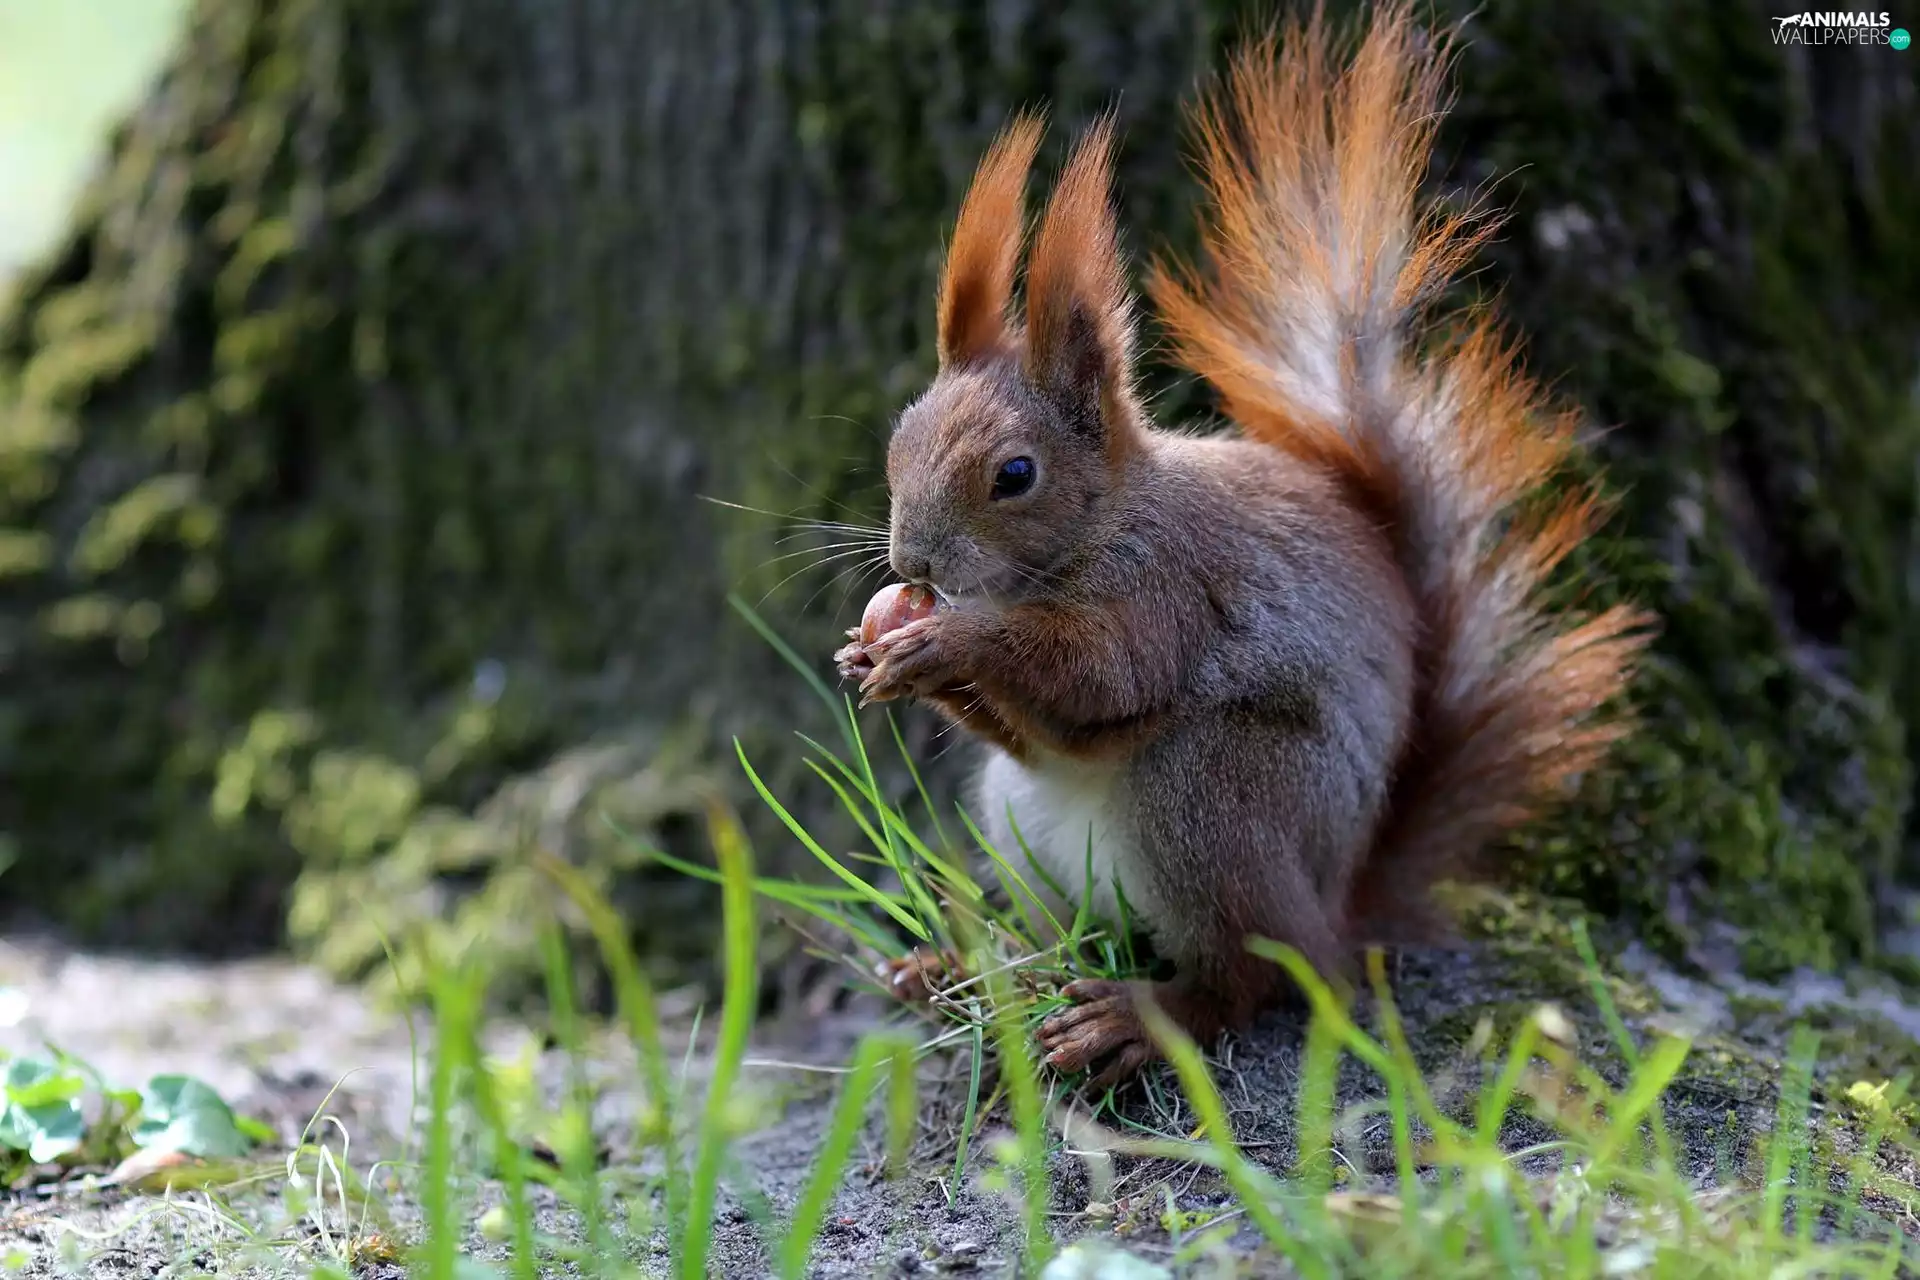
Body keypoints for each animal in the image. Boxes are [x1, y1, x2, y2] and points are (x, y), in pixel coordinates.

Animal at [833, 1, 1653, 1087]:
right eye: (899, 438)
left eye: (1014, 474)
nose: (912, 567)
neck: (1108, 521)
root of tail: (1336, 904)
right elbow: (1034, 731)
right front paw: (872, 654)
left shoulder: (1170, 589)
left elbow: (1100, 680)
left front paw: (946, 645)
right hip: (1022, 826)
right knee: (1071, 935)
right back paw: (969, 968)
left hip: (1210, 801)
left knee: (1251, 975)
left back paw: (1136, 1019)